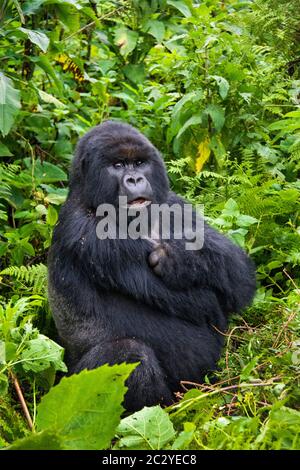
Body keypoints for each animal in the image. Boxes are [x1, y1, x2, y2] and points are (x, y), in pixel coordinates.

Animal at [47, 120, 255, 412]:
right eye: (118, 165)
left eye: (139, 162)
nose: (135, 179)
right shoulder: (86, 233)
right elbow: (205, 303)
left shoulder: (173, 202)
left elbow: (237, 274)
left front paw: (184, 259)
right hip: (66, 389)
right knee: (127, 353)